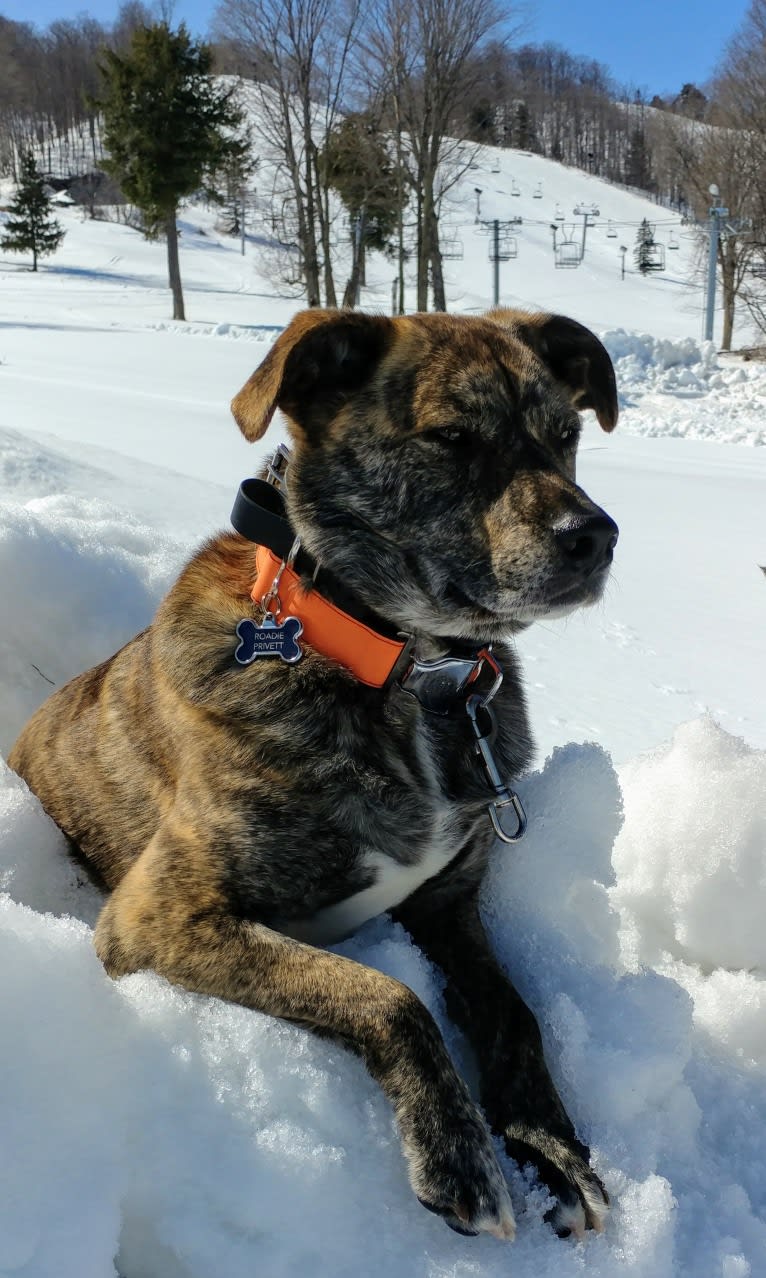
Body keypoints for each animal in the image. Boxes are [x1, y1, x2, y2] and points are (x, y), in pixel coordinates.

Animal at [10, 304, 624, 1242]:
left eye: (566, 436)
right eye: (450, 437)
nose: (595, 537)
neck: (408, 671)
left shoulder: (448, 907)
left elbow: (516, 1014)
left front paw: (551, 1149)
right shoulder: (157, 916)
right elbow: (388, 996)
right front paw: (460, 1155)